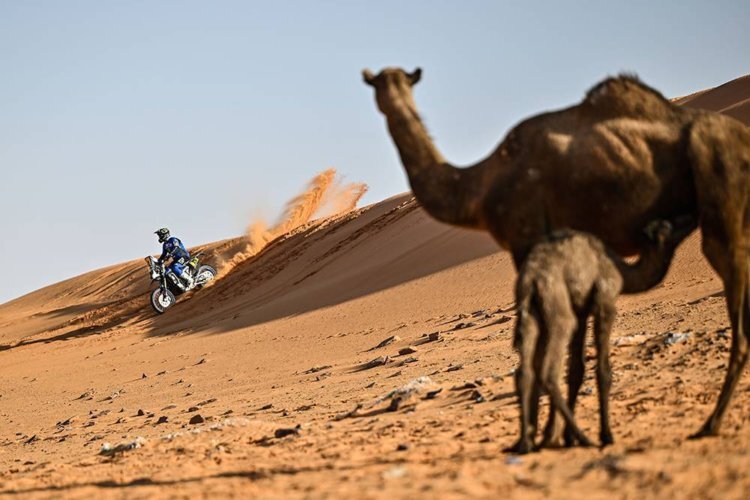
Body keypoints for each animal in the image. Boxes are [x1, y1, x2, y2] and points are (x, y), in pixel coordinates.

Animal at [364, 67, 750, 438]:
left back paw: (709, 424)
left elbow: (541, 354)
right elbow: (571, 358)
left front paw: (543, 435)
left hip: (720, 189)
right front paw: (558, 435)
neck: (479, 186)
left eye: (381, 84)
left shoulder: (527, 243)